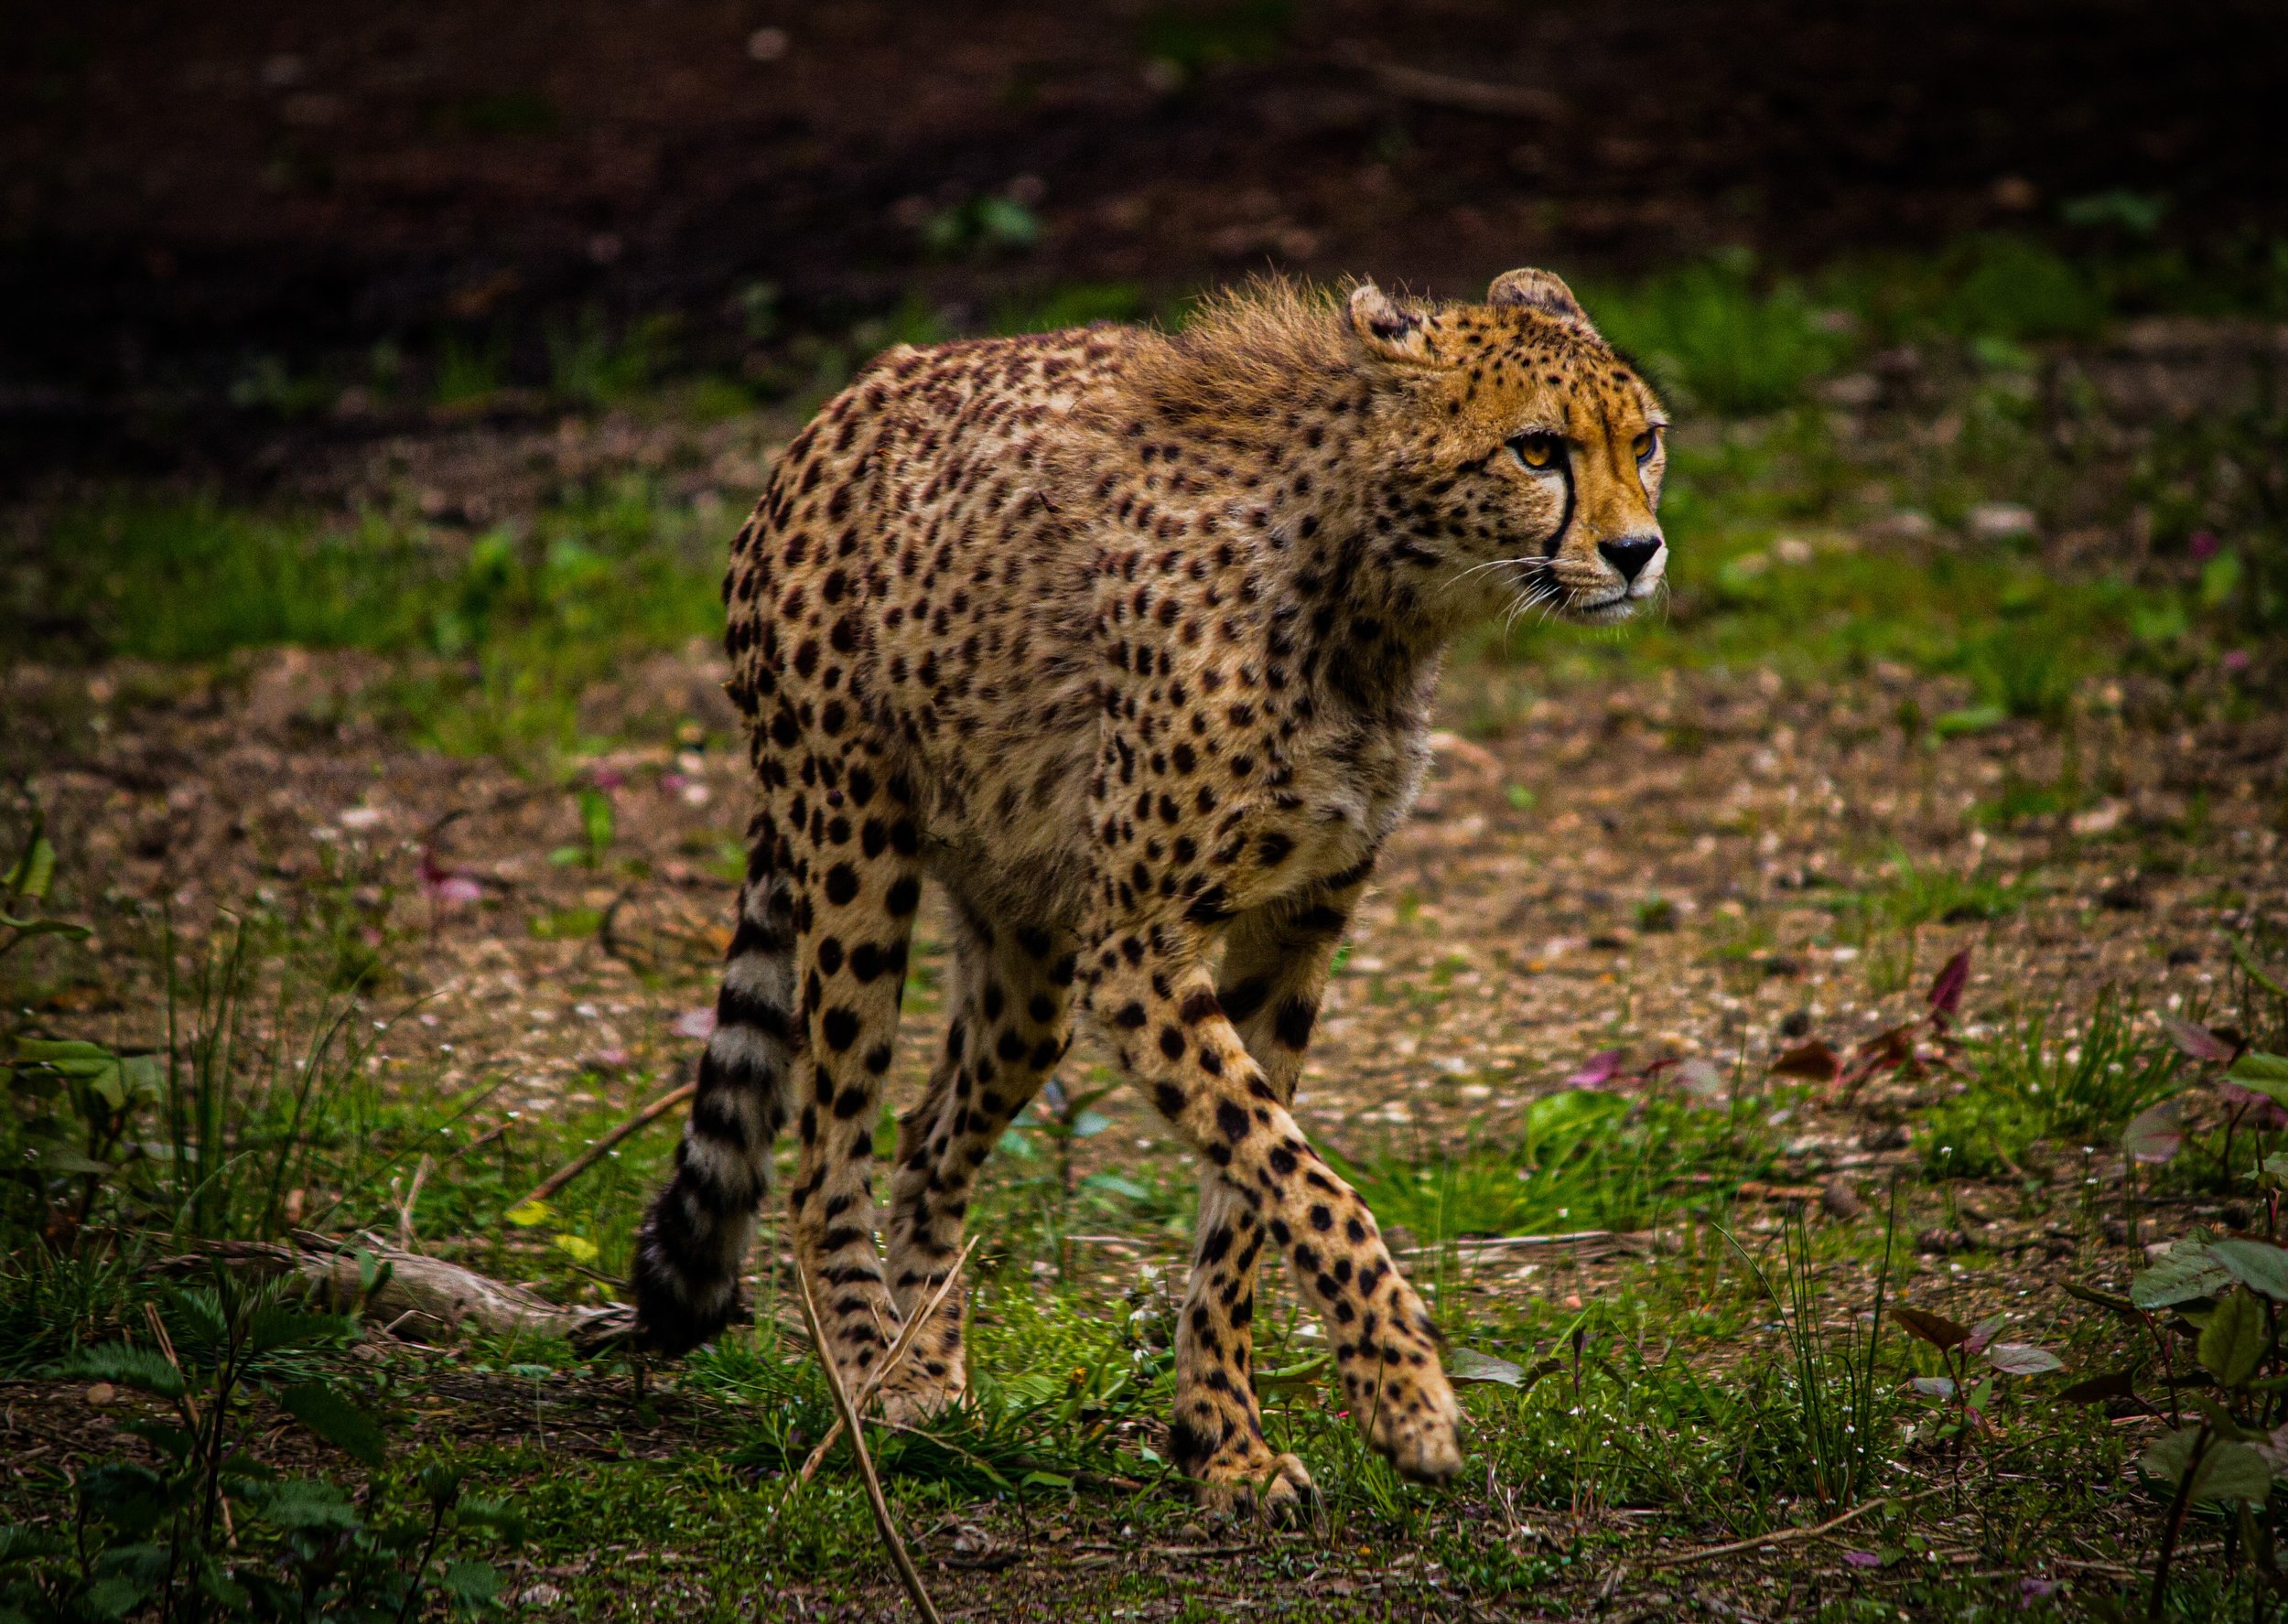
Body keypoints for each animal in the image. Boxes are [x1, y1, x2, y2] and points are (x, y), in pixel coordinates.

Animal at [629, 266, 1669, 1514]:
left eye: (1644, 441)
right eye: (1537, 449)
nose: (1637, 550)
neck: (1369, 595)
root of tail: (850, 399)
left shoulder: (1294, 932)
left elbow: (1249, 1193)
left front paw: (1222, 1438)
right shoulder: (1139, 950)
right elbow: (1301, 1176)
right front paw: (1404, 1388)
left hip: (1031, 949)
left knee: (928, 1137)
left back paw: (928, 1367)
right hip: (852, 855)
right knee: (827, 1146)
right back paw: (873, 1379)